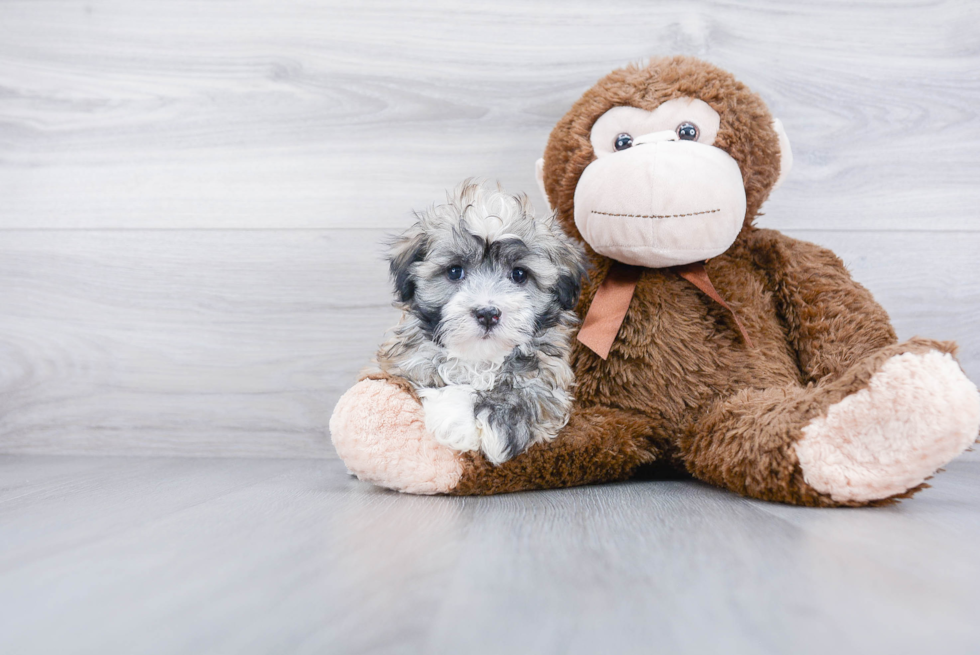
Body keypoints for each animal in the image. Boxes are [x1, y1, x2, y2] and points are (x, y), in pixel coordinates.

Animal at [374, 182, 588, 464]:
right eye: (455, 271)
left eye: (519, 274)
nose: (487, 313)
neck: (480, 358)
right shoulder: (405, 362)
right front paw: (454, 416)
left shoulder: (549, 375)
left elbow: (522, 394)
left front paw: (462, 422)